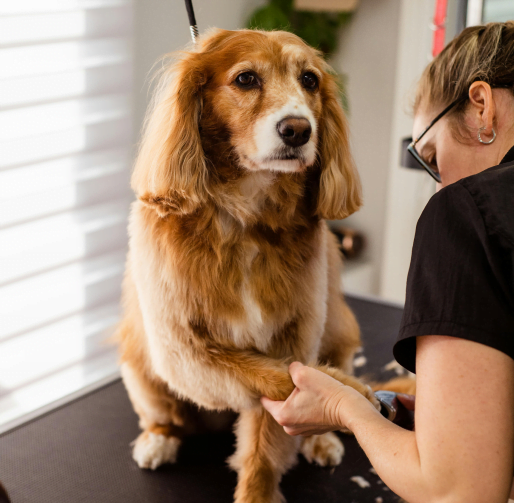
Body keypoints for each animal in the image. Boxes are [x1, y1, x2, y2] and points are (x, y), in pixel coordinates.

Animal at [118, 28, 378, 503]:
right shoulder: (184, 351)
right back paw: (158, 439)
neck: (245, 221)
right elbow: (281, 378)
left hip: (340, 331)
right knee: (164, 415)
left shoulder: (294, 334)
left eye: (310, 80)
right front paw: (347, 393)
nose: (298, 130)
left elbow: (266, 437)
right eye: (245, 79)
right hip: (140, 366)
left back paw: (323, 438)